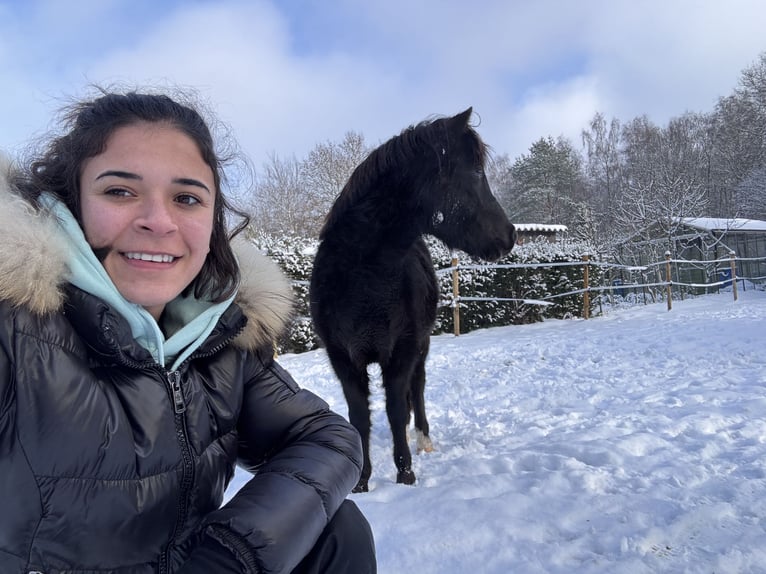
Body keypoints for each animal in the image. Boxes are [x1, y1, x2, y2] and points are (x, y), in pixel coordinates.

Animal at [309, 108, 516, 492]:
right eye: (476, 172)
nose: (509, 236)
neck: (363, 278)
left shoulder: (403, 350)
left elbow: (394, 408)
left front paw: (404, 473)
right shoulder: (343, 359)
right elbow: (360, 416)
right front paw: (361, 480)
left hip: (421, 345)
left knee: (416, 390)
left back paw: (422, 439)